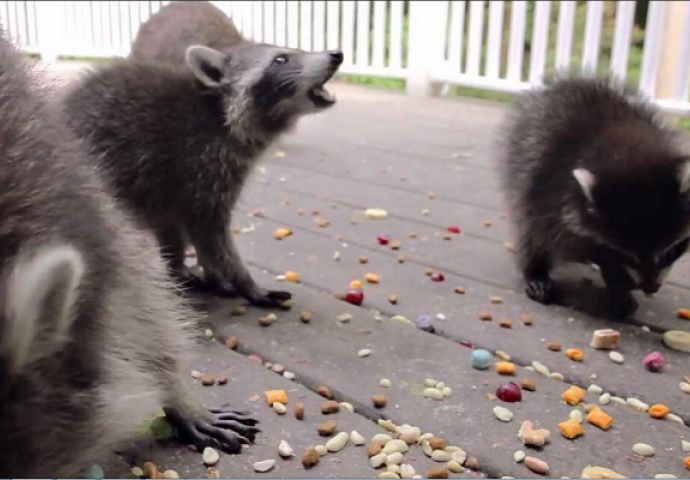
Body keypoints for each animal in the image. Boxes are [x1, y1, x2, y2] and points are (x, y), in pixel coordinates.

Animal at [61, 39, 342, 308]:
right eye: (281, 60)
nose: (336, 54)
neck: (222, 113)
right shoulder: (200, 163)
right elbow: (209, 231)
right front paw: (244, 280)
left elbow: (182, 225)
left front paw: (200, 269)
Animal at [498, 76, 688, 318]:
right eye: (627, 256)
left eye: (671, 250)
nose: (650, 288)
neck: (627, 149)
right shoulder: (549, 186)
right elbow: (549, 235)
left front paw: (619, 284)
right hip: (527, 162)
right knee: (531, 228)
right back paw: (536, 270)